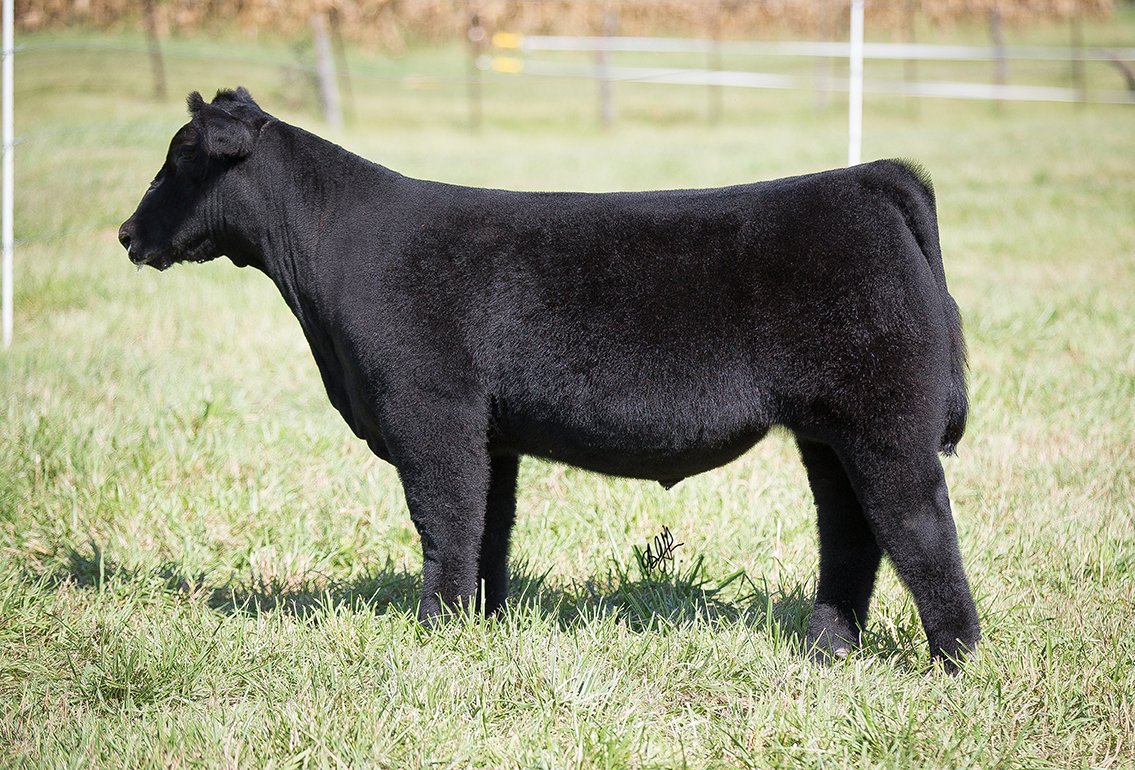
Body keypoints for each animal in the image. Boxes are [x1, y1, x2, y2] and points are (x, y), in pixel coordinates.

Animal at [119, 88, 980, 669]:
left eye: (179, 159)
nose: (125, 233)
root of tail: (867, 179)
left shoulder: (428, 412)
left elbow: (444, 524)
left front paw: (435, 631)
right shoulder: (488, 433)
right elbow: (487, 530)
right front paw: (480, 623)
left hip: (884, 424)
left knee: (918, 528)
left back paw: (954, 661)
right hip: (825, 432)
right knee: (850, 534)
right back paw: (826, 649)